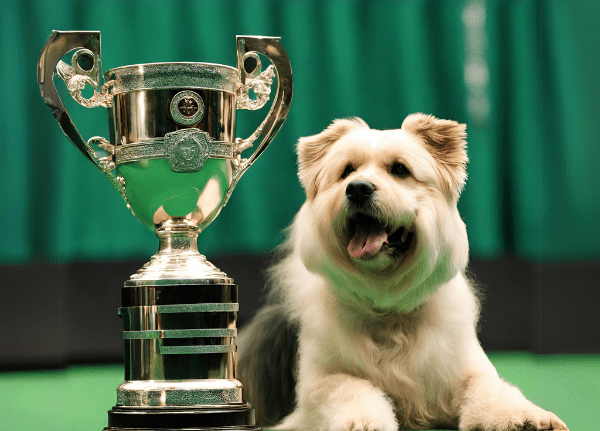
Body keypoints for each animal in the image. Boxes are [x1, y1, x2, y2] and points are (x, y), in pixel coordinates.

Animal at [237, 115, 568, 431]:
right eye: (347, 171)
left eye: (399, 169)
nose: (358, 188)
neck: (388, 309)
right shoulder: (318, 383)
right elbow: (348, 387)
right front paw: (363, 419)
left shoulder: (467, 369)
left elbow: (492, 389)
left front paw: (522, 416)